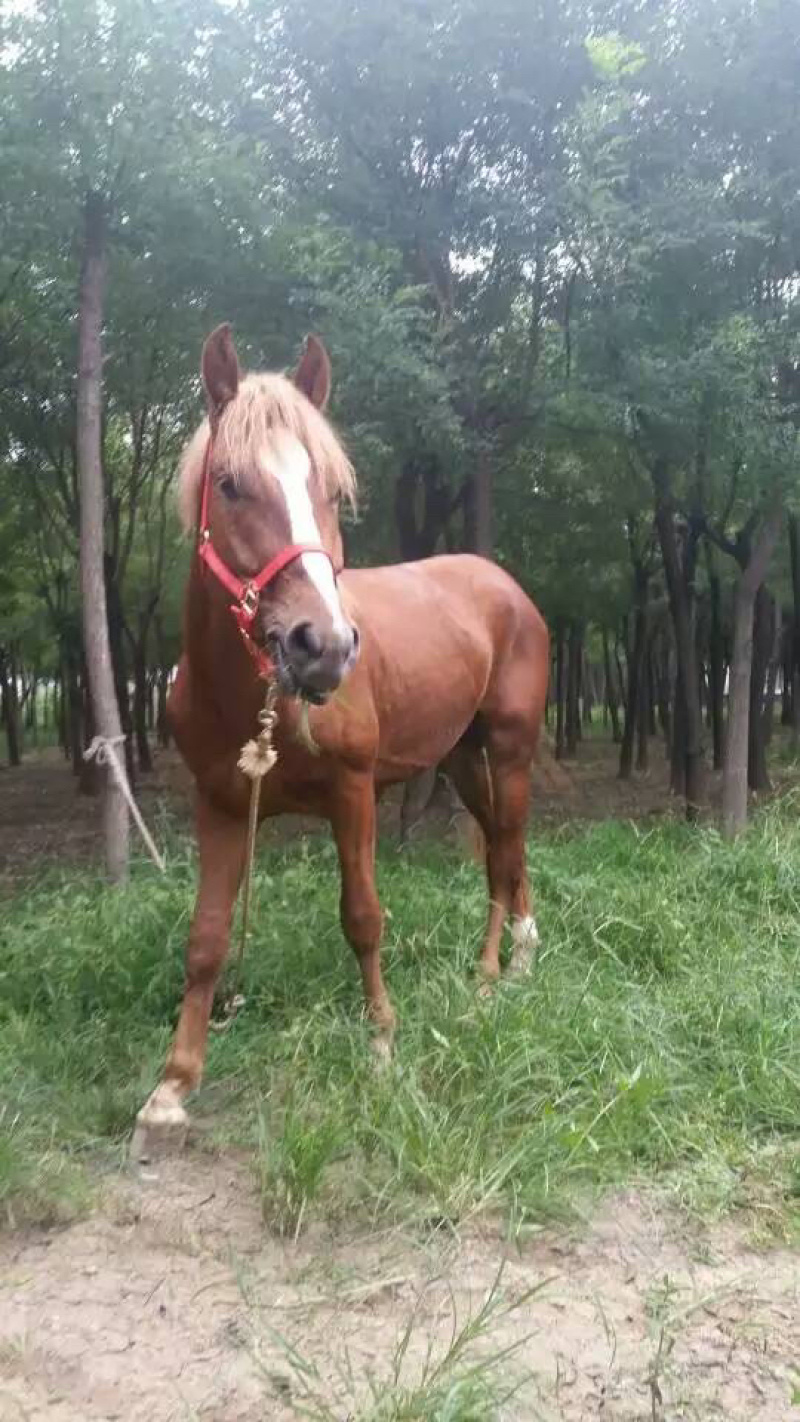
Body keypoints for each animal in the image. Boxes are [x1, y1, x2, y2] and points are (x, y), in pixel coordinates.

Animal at [131, 324, 549, 1161]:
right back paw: (495, 967)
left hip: (510, 750)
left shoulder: (354, 793)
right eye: (229, 483)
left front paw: (383, 1044)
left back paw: (505, 967)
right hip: (461, 758)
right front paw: (173, 1085)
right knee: (496, 846)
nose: (322, 646)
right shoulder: (219, 805)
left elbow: (362, 917)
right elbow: (206, 937)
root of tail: (507, 588)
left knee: (509, 846)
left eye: (329, 488)